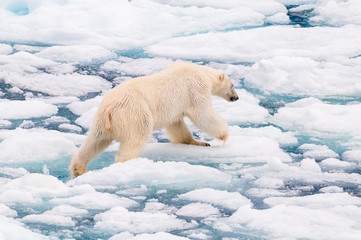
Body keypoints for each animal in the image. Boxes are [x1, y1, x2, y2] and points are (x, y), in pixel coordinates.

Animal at [69, 62, 238, 177]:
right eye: (232, 85)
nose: (236, 97)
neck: (201, 72)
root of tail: (109, 110)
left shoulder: (175, 108)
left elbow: (177, 125)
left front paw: (199, 142)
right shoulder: (196, 89)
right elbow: (203, 114)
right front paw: (223, 135)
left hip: (101, 122)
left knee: (95, 142)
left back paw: (79, 169)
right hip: (135, 114)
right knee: (136, 139)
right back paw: (127, 163)